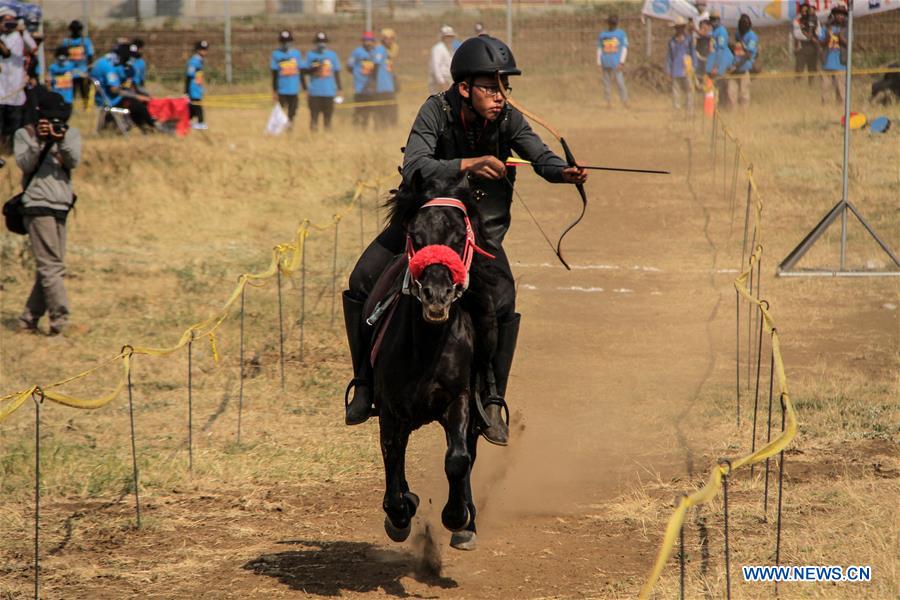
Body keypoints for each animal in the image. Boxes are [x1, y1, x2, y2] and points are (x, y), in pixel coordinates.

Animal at [370, 173, 502, 548]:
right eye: (416, 235)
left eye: (459, 238)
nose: (437, 295)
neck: (427, 348)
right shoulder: (390, 409)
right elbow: (392, 454)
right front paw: (400, 513)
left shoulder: (458, 399)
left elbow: (458, 459)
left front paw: (457, 517)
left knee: (469, 450)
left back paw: (467, 523)